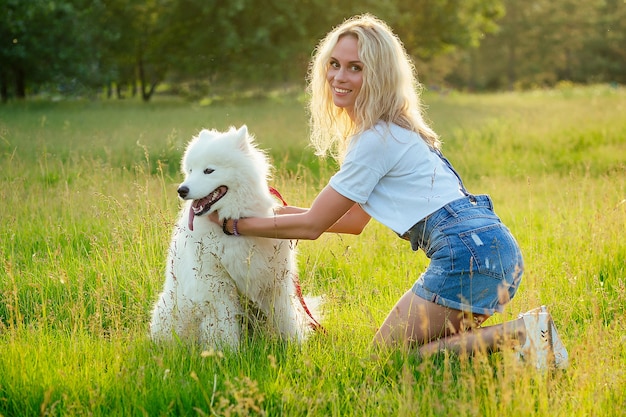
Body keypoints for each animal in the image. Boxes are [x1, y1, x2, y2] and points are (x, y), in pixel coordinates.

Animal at [149, 123, 320, 348]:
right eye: (191, 170)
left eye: (209, 170)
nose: (181, 190)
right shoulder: (218, 287)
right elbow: (225, 327)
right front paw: (228, 352)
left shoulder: (275, 284)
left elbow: (286, 319)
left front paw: (294, 346)